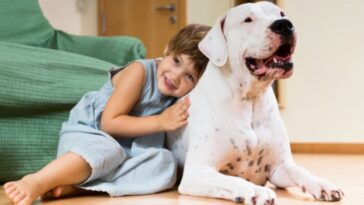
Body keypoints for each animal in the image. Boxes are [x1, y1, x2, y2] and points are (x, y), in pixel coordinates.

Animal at [168, 2, 344, 205]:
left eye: (281, 13)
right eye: (248, 19)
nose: (285, 24)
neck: (250, 98)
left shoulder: (278, 168)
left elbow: (299, 170)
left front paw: (322, 184)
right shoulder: (197, 171)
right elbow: (233, 179)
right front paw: (255, 190)